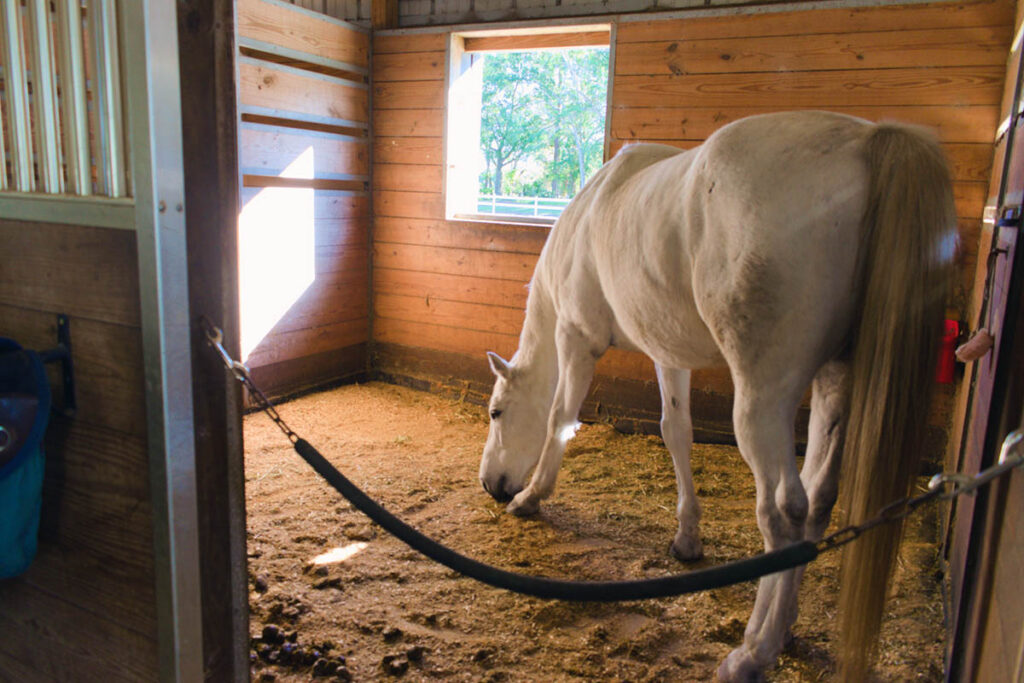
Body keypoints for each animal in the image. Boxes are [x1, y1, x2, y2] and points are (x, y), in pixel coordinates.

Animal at [477, 110, 956, 681]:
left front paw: (531, 497)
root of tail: (864, 138)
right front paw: (687, 537)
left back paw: (754, 650)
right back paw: (784, 626)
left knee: (785, 510)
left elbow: (559, 420)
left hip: (762, 399)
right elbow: (676, 434)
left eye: (496, 412)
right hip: (833, 380)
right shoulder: (668, 353)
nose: (491, 485)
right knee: (818, 497)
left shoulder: (577, 338)